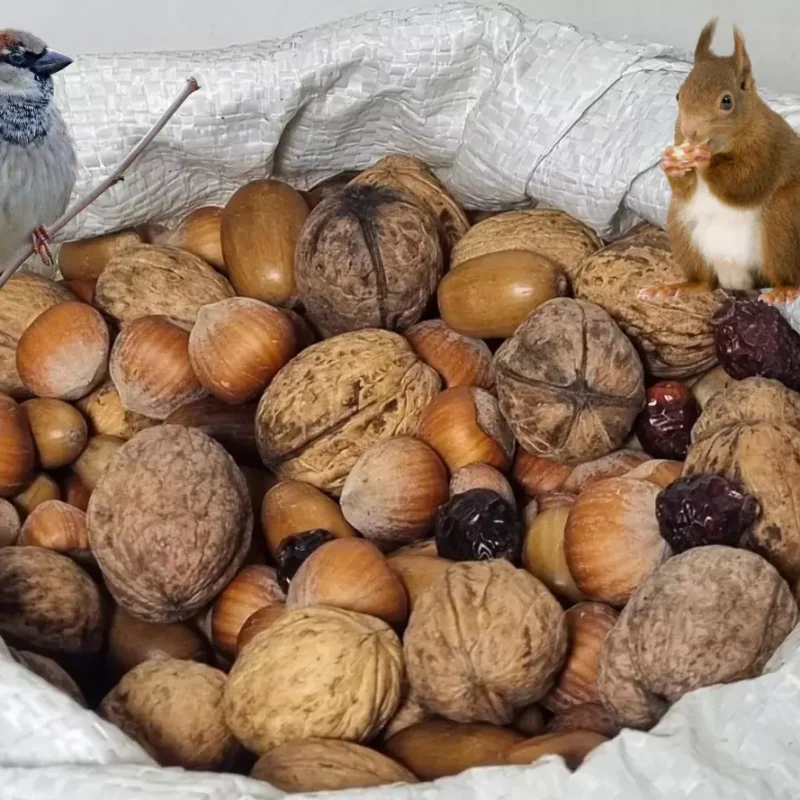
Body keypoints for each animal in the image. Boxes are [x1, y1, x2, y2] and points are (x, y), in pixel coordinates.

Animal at [638, 19, 800, 306]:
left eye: (727, 101)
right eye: (678, 95)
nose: (690, 132)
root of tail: (735, 277)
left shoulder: (768, 149)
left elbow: (746, 182)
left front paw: (705, 161)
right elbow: (684, 188)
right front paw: (670, 163)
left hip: (784, 220)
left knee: (785, 271)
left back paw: (784, 290)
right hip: (681, 229)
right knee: (705, 282)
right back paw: (675, 288)